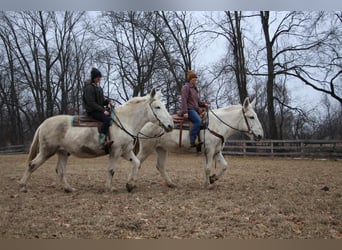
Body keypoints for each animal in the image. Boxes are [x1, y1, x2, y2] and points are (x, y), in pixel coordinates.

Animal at [19, 89, 174, 192]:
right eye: (157, 107)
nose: (170, 126)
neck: (125, 121)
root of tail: (43, 124)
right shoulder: (115, 151)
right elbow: (111, 170)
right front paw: (109, 188)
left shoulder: (126, 151)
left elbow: (136, 163)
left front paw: (129, 185)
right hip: (47, 151)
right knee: (32, 165)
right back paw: (23, 186)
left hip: (62, 152)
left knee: (60, 170)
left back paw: (69, 189)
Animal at [130, 96, 264, 190]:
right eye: (251, 117)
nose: (260, 135)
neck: (217, 124)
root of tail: (145, 122)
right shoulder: (209, 151)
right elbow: (208, 168)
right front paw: (208, 184)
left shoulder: (216, 151)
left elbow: (224, 166)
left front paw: (213, 179)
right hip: (146, 148)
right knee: (138, 162)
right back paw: (131, 183)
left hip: (161, 149)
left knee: (160, 166)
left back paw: (171, 184)